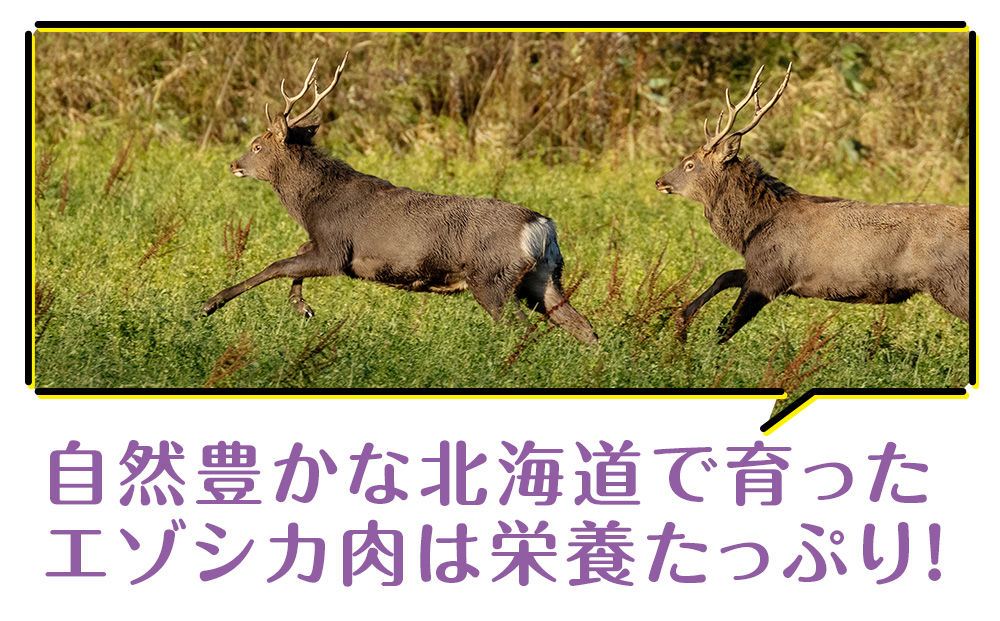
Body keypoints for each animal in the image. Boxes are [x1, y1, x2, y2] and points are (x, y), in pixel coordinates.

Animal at [203, 54, 598, 345]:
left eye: (257, 145)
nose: (234, 163)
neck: (313, 205)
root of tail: (541, 225)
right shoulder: (325, 245)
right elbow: (295, 254)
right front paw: (302, 307)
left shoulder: (336, 250)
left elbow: (277, 265)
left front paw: (211, 304)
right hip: (543, 276)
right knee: (583, 326)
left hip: (492, 278)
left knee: (522, 328)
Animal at [655, 63, 969, 343]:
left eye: (689, 164)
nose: (659, 181)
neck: (750, 231)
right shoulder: (762, 268)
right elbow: (724, 276)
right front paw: (680, 324)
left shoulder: (770, 276)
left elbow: (725, 327)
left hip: (953, 283)